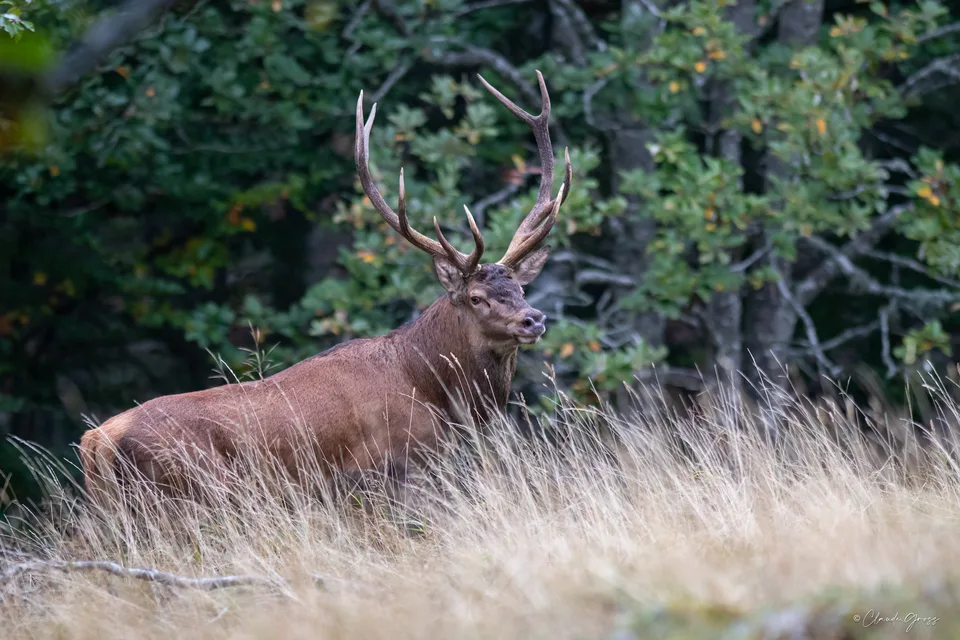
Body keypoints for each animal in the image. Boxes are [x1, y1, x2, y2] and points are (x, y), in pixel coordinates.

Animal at [78, 71, 572, 519]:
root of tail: (96, 442)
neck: (434, 389)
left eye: (520, 287)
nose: (534, 318)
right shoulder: (392, 468)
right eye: (475, 298)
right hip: (180, 499)